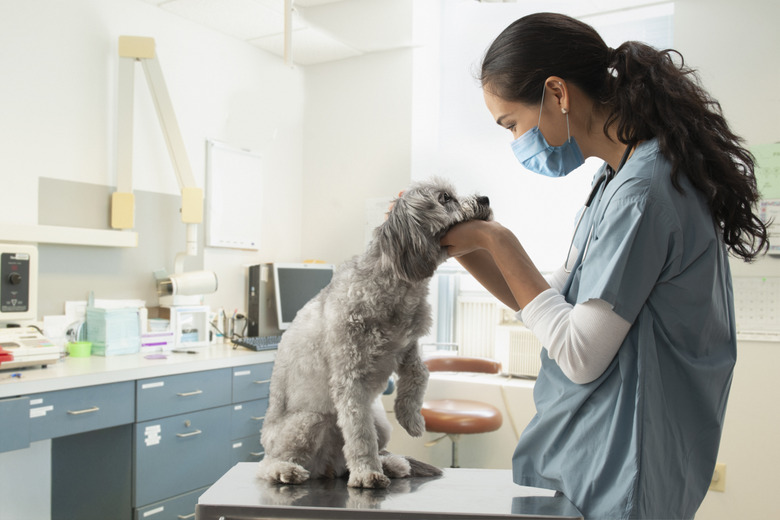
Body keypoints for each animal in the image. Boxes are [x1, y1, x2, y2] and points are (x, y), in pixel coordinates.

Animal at [258, 178, 490, 488]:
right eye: (445, 198)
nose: (485, 199)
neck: (395, 284)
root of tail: (328, 467)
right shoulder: (350, 379)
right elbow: (360, 434)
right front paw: (367, 473)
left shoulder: (408, 347)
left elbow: (420, 374)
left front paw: (411, 418)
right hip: (308, 421)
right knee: (268, 464)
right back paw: (287, 470)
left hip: (380, 423)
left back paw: (392, 463)